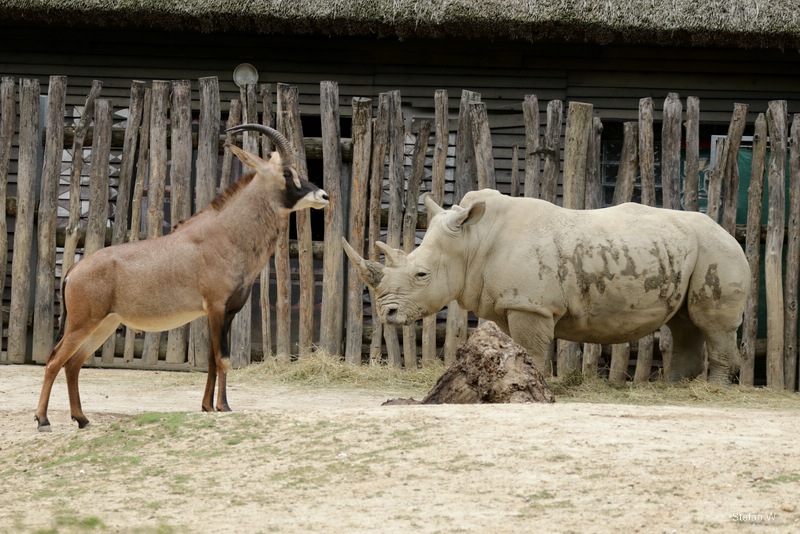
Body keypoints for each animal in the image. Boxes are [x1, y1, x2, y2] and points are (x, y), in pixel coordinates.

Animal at [343, 188, 750, 384]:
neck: (473, 241)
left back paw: (713, 389)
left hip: (718, 250)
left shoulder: (530, 304)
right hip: (689, 250)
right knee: (684, 323)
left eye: (421, 275)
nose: (387, 313)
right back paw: (673, 386)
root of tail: (731, 233)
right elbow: (518, 347)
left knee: (711, 323)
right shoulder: (513, 301)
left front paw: (532, 385)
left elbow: (533, 347)